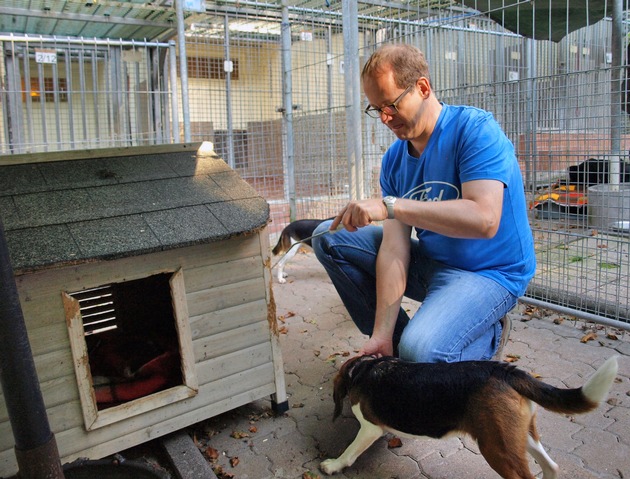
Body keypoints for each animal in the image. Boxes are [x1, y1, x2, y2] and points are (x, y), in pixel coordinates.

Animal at [324, 354, 620, 479]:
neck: (363, 368)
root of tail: (506, 372)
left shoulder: (370, 428)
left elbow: (350, 452)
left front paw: (333, 465)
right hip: (518, 435)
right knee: (551, 467)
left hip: (496, 448)